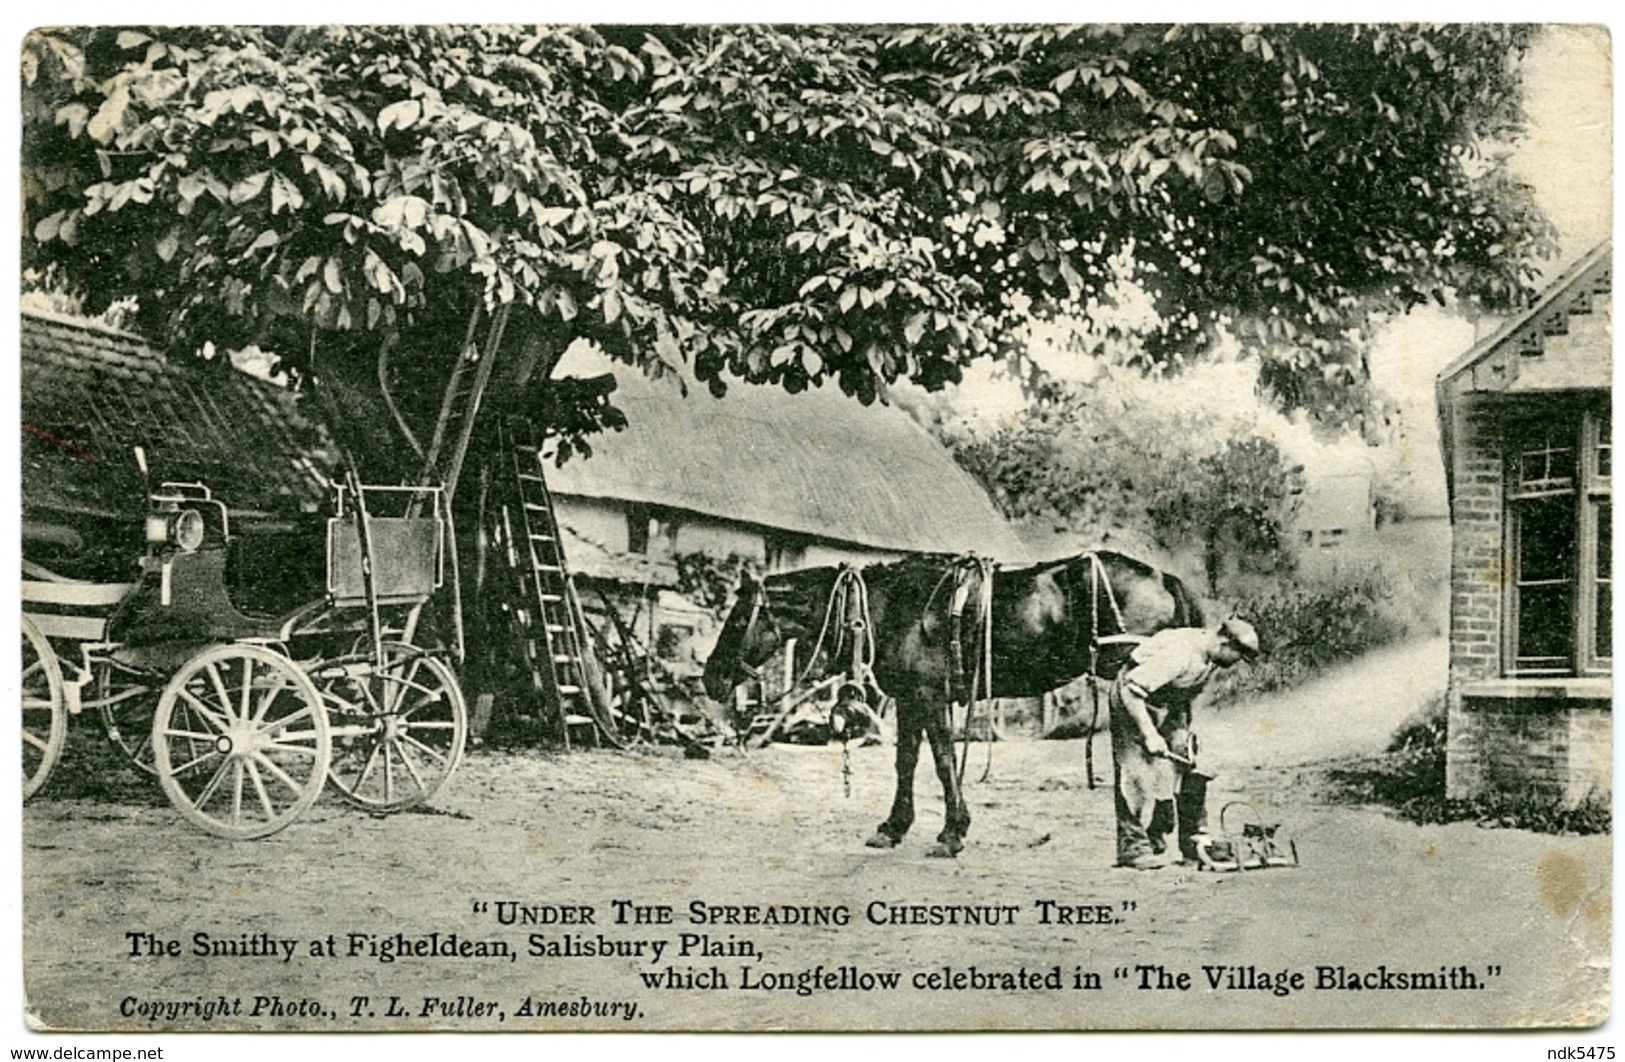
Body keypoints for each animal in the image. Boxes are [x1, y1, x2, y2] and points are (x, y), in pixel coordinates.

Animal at [702, 552, 1209, 863]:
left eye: (738, 618)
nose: (711, 678)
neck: (892, 607)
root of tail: (1165, 579)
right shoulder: (909, 699)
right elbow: (906, 763)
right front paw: (893, 827)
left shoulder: (929, 697)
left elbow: (944, 762)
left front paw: (951, 834)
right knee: (1176, 746)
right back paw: (1167, 833)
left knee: (1159, 748)